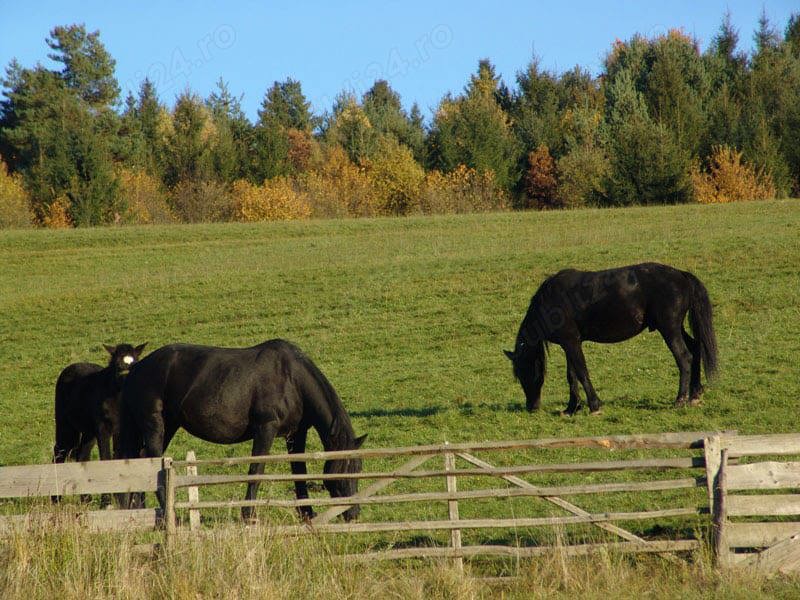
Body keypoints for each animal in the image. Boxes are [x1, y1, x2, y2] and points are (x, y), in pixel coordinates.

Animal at [53, 342, 148, 502]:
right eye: (117, 365)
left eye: (135, 363)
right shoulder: (103, 430)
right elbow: (106, 458)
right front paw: (107, 501)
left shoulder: (119, 431)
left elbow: (117, 458)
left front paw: (118, 498)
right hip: (65, 425)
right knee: (59, 452)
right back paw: (55, 499)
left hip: (88, 431)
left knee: (82, 455)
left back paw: (86, 499)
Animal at [118, 340, 366, 524]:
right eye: (344, 469)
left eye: (358, 468)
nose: (353, 514)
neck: (291, 378)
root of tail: (136, 369)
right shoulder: (265, 428)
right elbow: (256, 470)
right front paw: (249, 514)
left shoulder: (296, 434)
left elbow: (299, 471)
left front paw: (307, 513)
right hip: (154, 423)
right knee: (152, 460)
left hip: (168, 424)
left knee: (142, 460)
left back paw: (141, 511)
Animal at [506, 264, 720, 414]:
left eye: (524, 372)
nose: (531, 407)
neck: (552, 301)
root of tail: (681, 275)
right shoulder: (570, 344)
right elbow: (571, 375)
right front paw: (571, 408)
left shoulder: (571, 342)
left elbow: (581, 372)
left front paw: (594, 406)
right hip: (674, 328)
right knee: (695, 348)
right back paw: (695, 394)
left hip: (669, 329)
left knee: (684, 357)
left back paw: (680, 400)